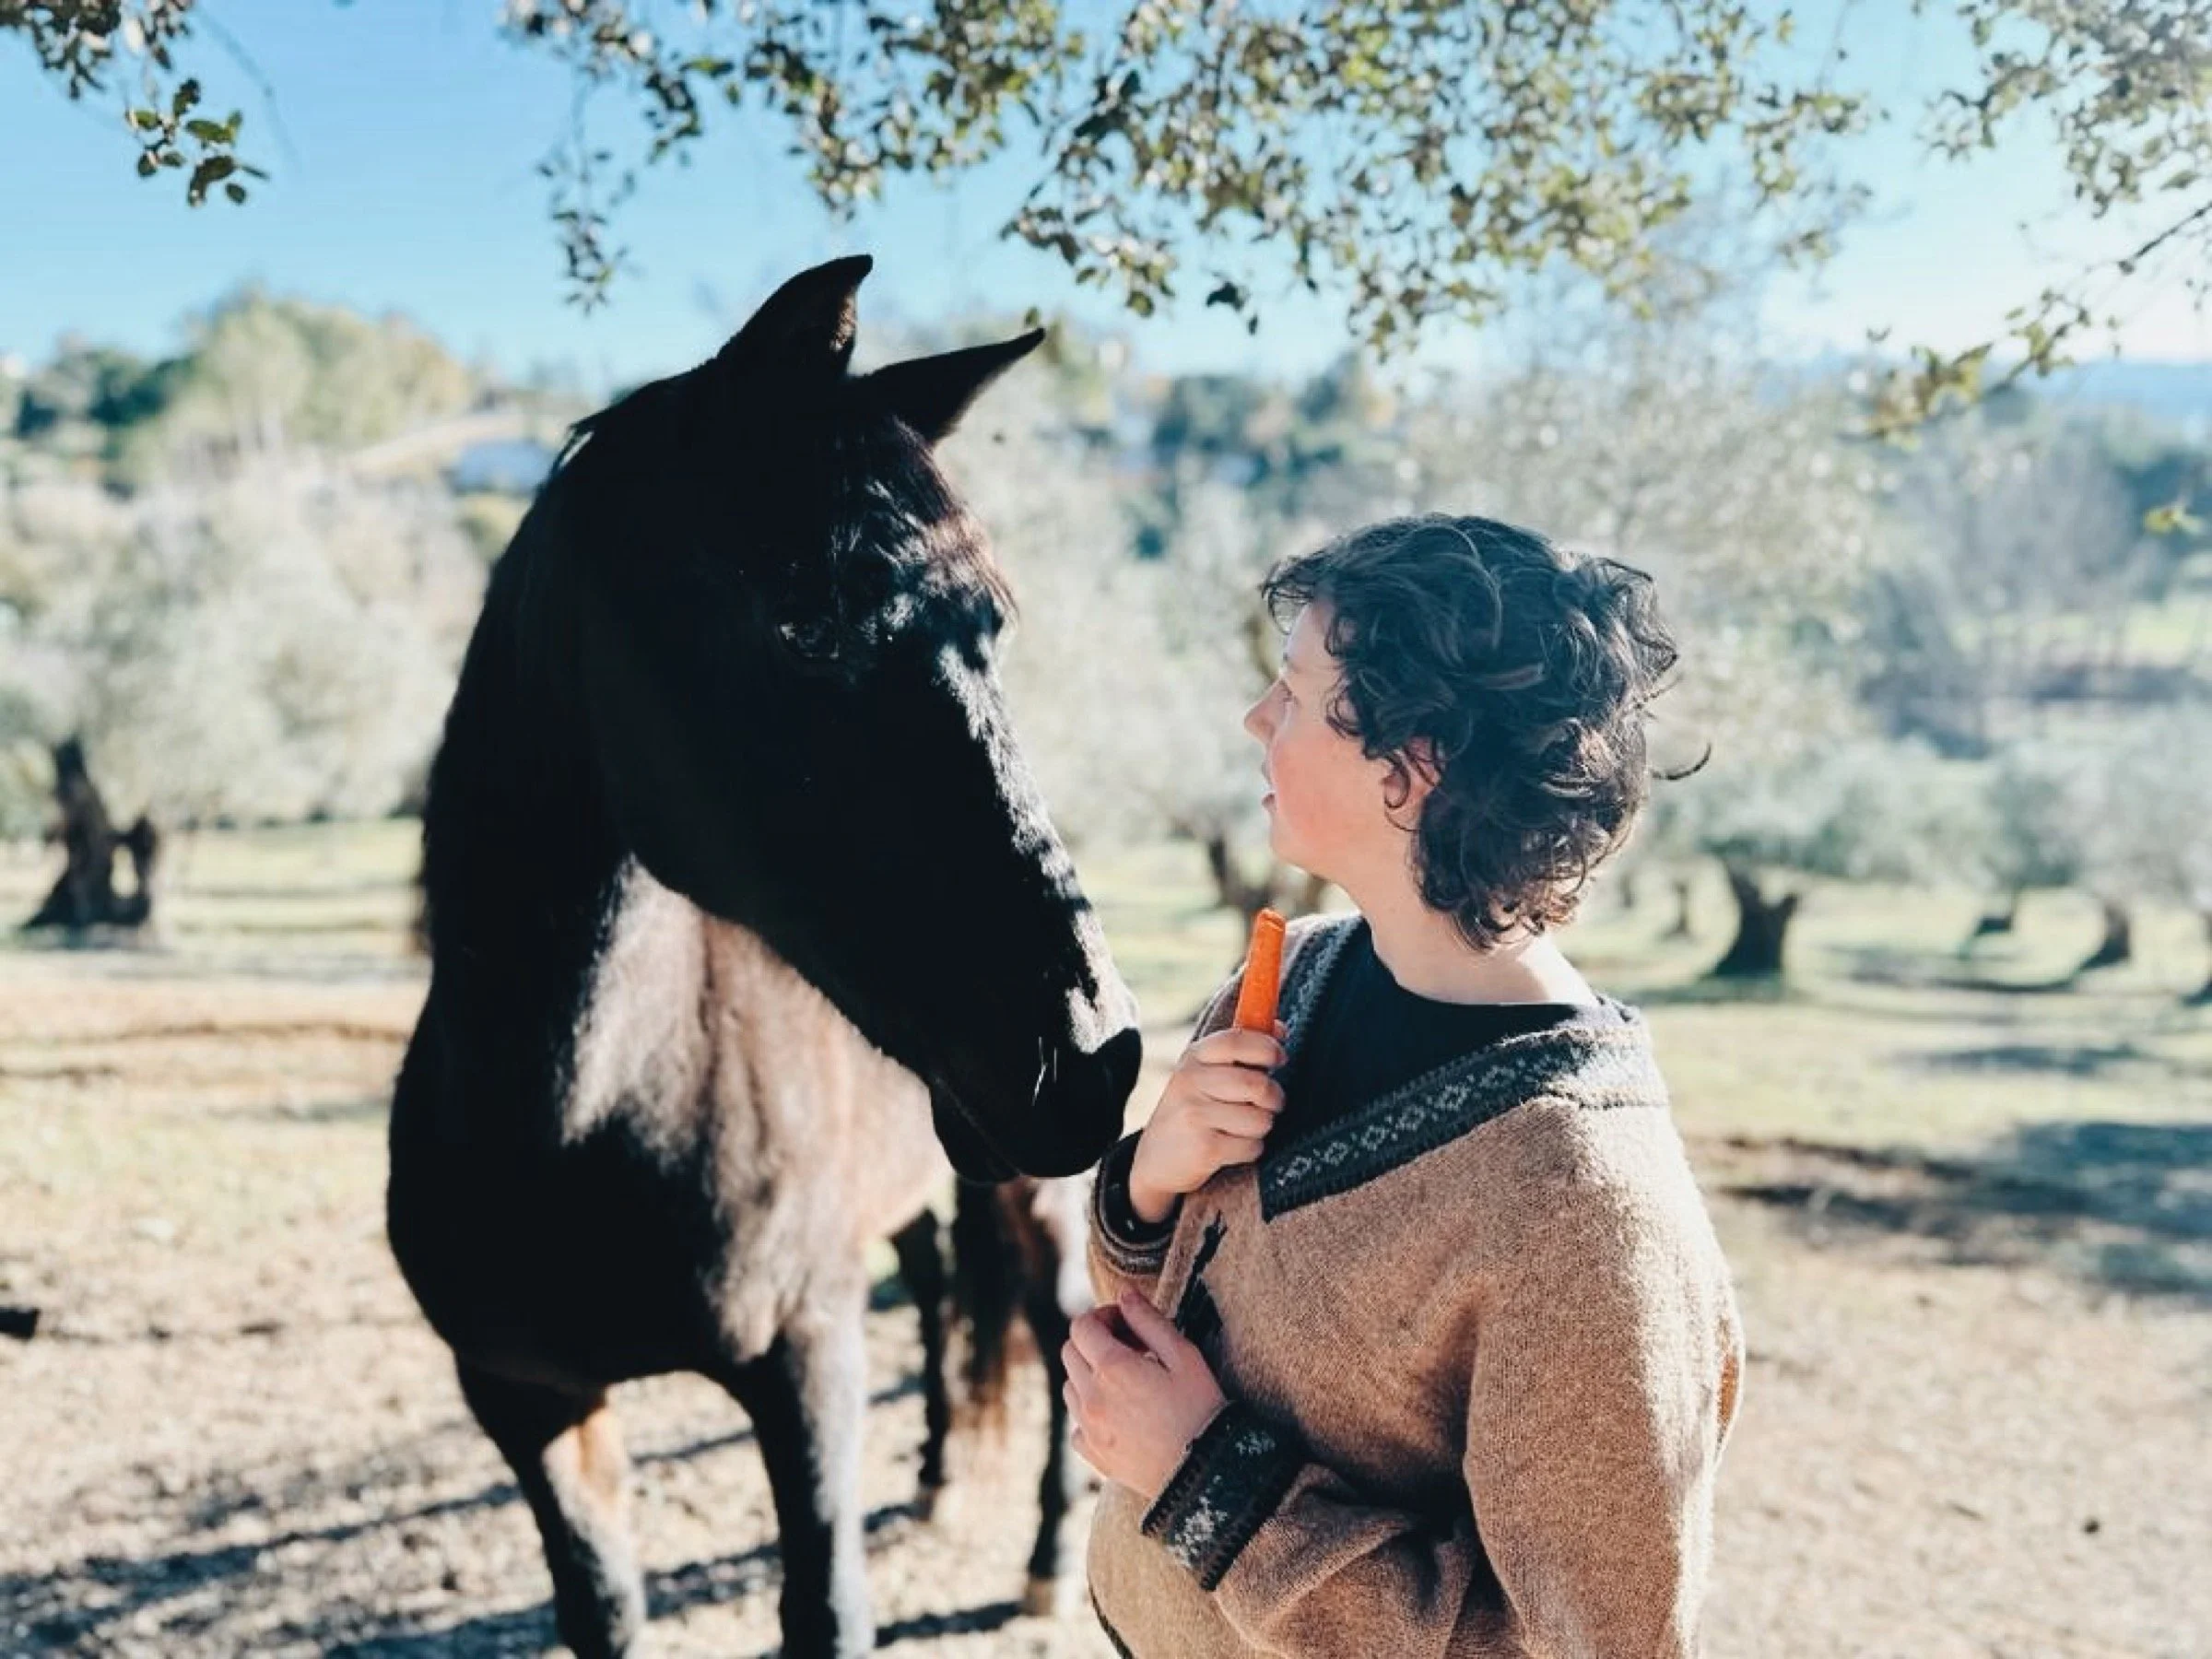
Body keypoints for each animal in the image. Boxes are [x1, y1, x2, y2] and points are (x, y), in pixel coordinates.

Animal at [386, 255, 1141, 1659]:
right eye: (803, 626)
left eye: (994, 630)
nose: (1091, 1051)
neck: (573, 1119)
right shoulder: (530, 1403)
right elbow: (603, 1606)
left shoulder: (803, 1361)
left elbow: (824, 1606)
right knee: (943, 1293)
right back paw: (939, 1483)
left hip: (1039, 1203)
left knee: (1063, 1333)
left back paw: (1046, 1563)